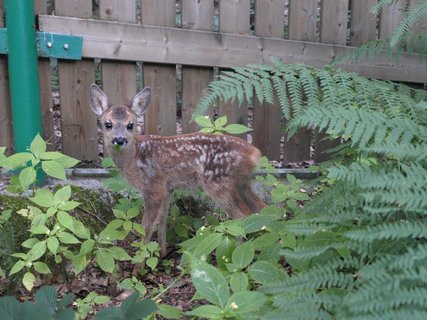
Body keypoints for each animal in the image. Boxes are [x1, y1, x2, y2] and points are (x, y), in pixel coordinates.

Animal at [88, 83, 266, 272]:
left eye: (130, 125)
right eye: (108, 124)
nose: (120, 140)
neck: (134, 158)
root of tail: (254, 153)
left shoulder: (153, 187)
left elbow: (146, 227)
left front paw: (138, 268)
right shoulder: (167, 189)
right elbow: (162, 219)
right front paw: (162, 253)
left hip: (219, 183)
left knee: (242, 215)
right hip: (243, 184)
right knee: (263, 210)